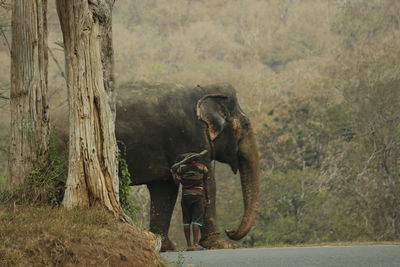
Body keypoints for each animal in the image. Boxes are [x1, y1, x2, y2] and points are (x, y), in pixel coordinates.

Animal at [115, 82, 260, 252]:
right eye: (246, 124)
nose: (229, 230)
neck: (204, 89)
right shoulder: (190, 134)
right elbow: (208, 182)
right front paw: (222, 245)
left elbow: (165, 190)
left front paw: (166, 246)